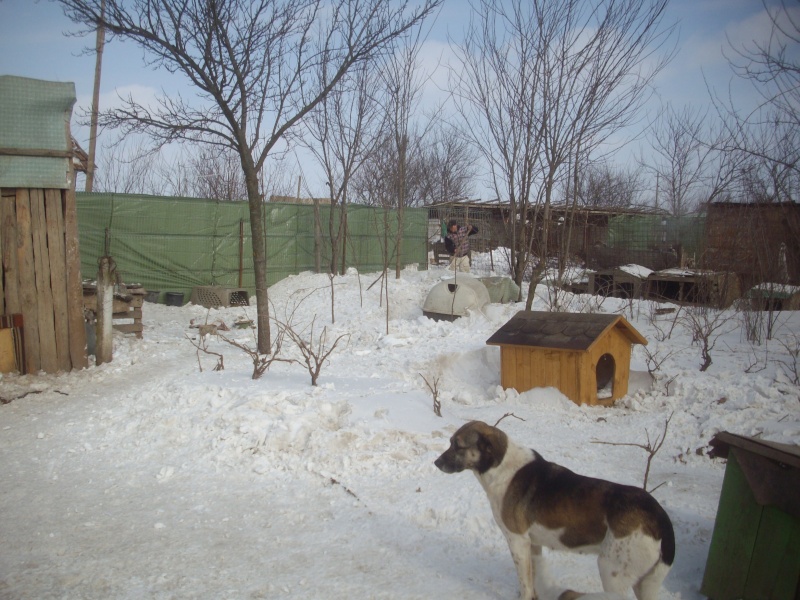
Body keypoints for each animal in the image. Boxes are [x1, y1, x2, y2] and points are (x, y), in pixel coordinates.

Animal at [434, 422, 672, 600]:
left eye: (457, 445)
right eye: (450, 442)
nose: (436, 463)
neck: (500, 467)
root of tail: (660, 517)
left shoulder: (517, 541)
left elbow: (525, 583)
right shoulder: (533, 544)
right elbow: (534, 578)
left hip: (611, 572)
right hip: (647, 583)